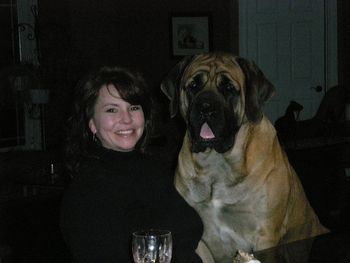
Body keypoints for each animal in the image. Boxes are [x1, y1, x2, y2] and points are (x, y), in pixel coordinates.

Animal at [161, 52, 328, 263]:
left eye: (228, 88)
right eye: (193, 86)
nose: (205, 107)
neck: (217, 164)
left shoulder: (265, 235)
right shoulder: (199, 242)